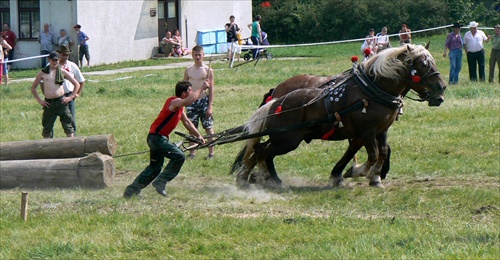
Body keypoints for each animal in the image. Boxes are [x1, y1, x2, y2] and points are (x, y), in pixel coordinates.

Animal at [230, 43, 446, 188]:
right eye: (423, 64)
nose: (441, 88)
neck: (370, 90)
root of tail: (276, 101)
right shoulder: (366, 131)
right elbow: (372, 154)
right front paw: (359, 172)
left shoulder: (380, 130)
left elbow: (381, 151)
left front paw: (370, 176)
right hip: (287, 140)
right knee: (261, 151)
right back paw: (258, 177)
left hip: (283, 139)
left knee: (262, 151)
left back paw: (264, 178)